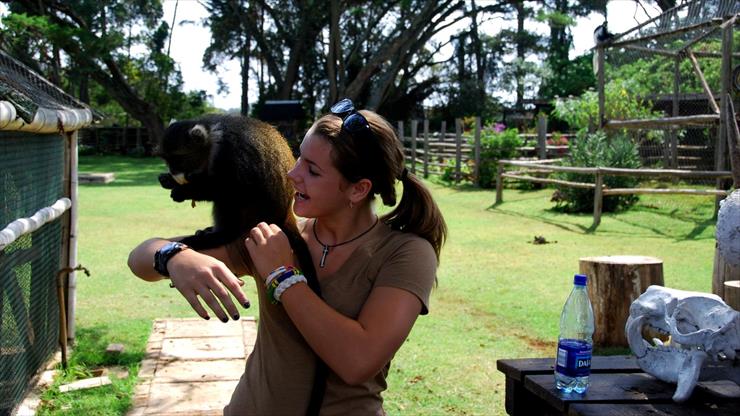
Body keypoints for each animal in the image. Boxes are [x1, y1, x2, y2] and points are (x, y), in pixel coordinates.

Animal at [156, 114, 318, 292]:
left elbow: (235, 189)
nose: (174, 172)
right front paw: (168, 180)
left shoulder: (231, 153)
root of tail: (284, 214)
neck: (211, 140)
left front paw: (184, 191)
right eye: (168, 160)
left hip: (255, 212)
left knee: (230, 199)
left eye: (178, 159)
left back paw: (222, 235)